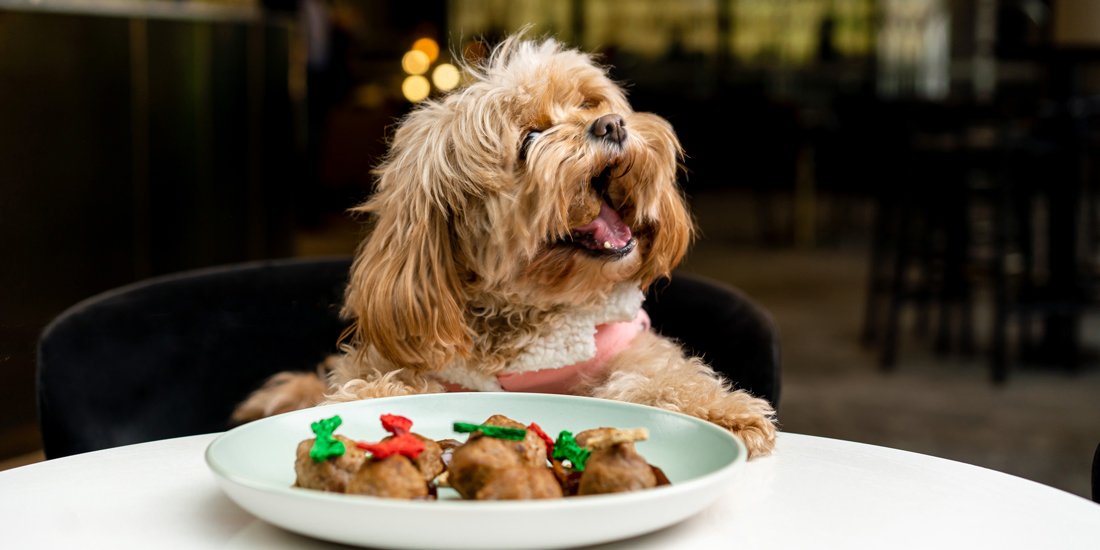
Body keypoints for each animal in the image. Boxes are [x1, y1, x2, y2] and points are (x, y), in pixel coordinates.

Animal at [234, 32, 774, 457]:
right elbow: (373, 383)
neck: (528, 318)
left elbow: (666, 377)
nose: (613, 125)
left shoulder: (628, 348)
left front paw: (721, 414)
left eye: (590, 104)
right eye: (529, 139)